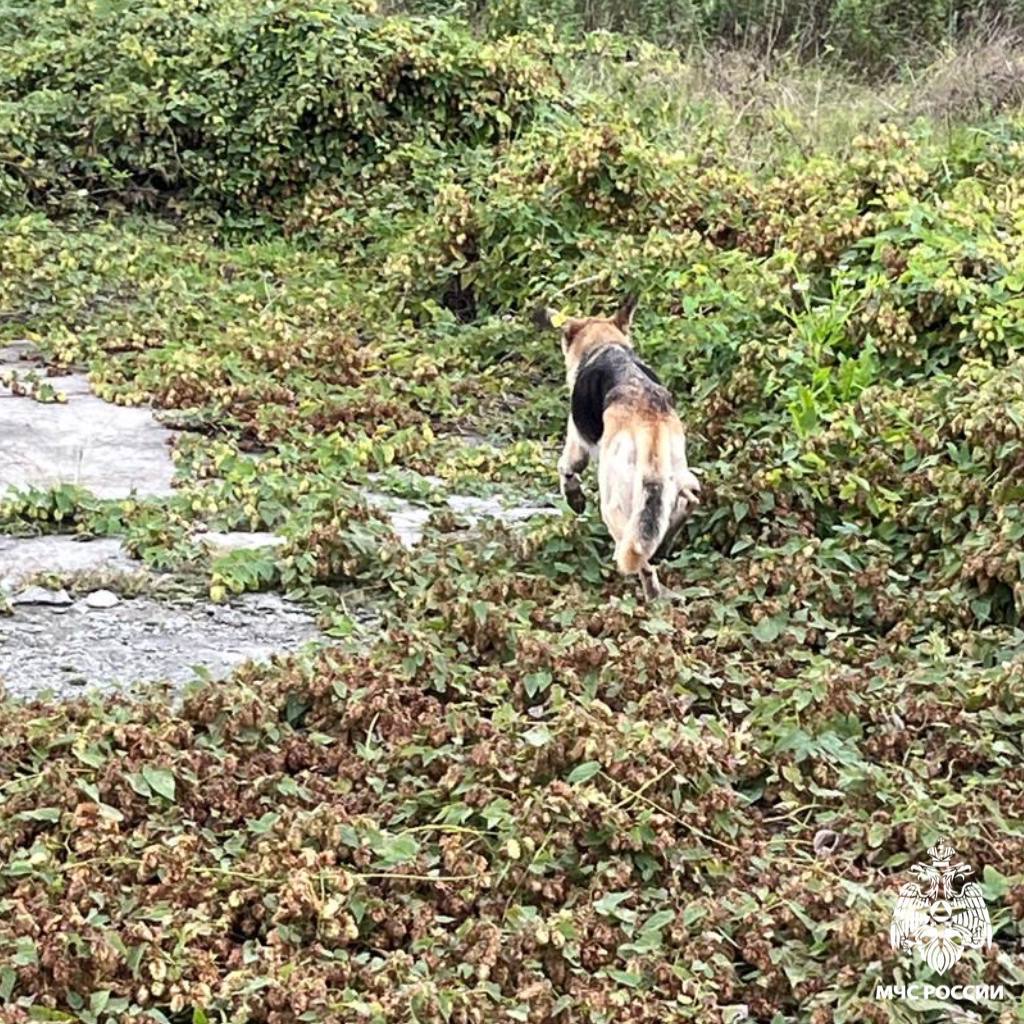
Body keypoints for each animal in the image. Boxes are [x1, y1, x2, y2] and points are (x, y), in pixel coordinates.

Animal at [536, 296, 696, 598]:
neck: (606, 345)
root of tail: (648, 420)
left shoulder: (577, 443)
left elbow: (566, 468)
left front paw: (574, 497)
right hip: (675, 473)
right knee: (690, 498)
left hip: (614, 504)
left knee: (637, 554)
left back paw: (651, 591)